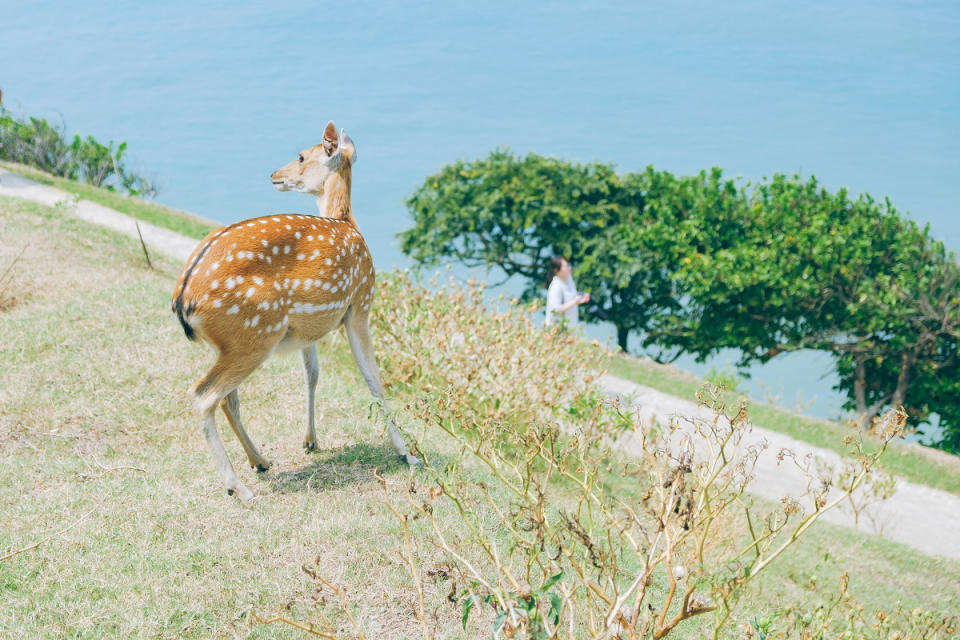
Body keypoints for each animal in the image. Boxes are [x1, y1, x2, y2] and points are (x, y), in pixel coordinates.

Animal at [172, 120, 416, 500]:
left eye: (301, 156)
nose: (274, 174)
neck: (348, 223)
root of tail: (183, 300)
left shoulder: (308, 330)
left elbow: (312, 375)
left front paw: (311, 442)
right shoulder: (360, 302)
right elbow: (374, 380)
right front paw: (406, 453)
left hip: (231, 342)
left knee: (226, 398)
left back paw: (260, 461)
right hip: (256, 335)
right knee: (203, 395)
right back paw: (237, 487)